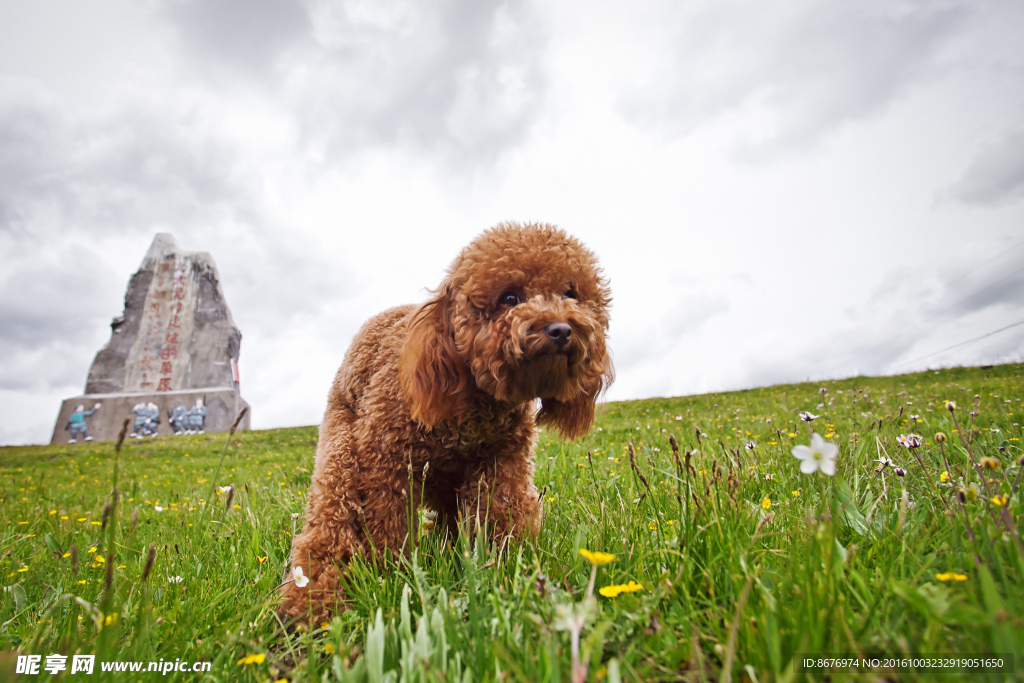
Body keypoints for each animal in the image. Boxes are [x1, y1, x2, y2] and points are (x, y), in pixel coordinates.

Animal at [280, 222, 610, 622]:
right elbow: (386, 528)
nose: (561, 330)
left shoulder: (502, 462)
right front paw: (390, 574)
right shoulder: (384, 463)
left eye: (570, 294)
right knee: (330, 524)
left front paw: (507, 569)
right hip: (343, 454)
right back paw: (310, 606)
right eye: (510, 297)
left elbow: (504, 516)